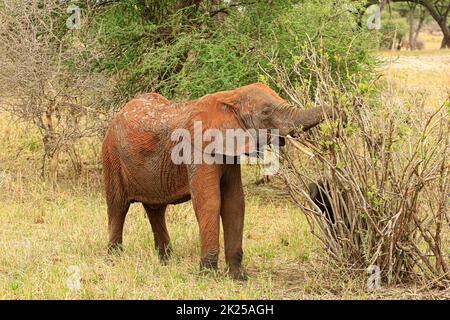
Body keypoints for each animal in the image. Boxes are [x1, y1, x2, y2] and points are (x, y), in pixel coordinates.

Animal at [101, 83, 342, 280]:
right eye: (266, 112)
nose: (341, 121)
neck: (230, 98)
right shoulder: (197, 149)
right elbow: (210, 202)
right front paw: (208, 274)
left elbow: (235, 203)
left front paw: (238, 276)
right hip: (111, 156)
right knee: (118, 207)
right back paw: (114, 258)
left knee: (155, 209)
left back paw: (165, 260)